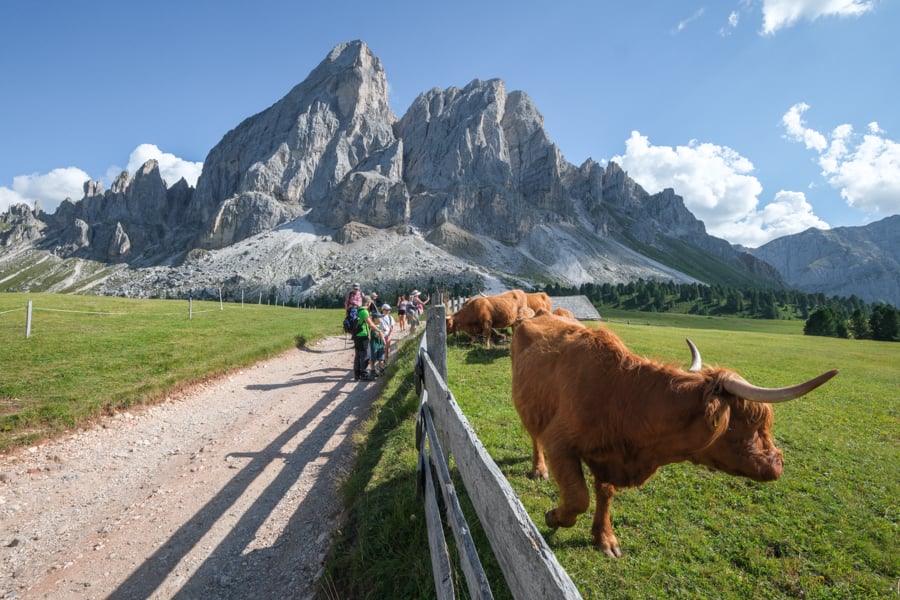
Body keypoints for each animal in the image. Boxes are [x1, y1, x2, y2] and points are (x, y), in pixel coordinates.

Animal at [510, 313, 838, 557]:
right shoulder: (560, 441)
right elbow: (579, 497)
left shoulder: (608, 457)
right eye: (750, 424)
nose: (777, 463)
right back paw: (539, 469)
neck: (623, 397)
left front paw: (604, 538)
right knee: (534, 436)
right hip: (528, 408)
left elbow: (605, 493)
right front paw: (554, 517)